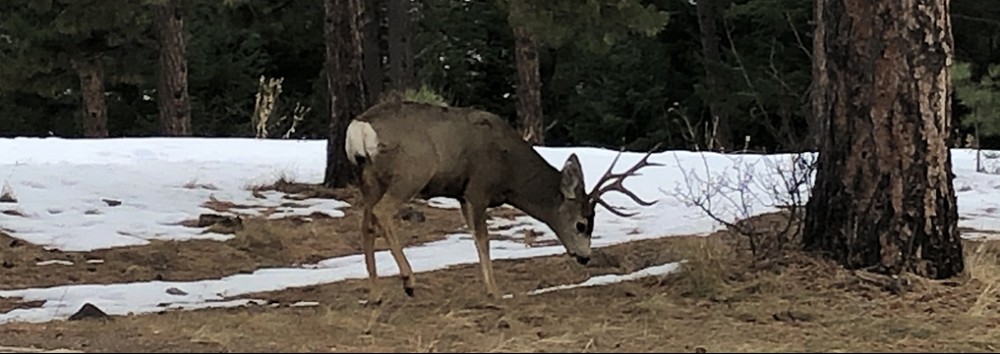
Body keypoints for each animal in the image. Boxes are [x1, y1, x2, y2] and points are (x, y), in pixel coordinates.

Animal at [346, 99, 664, 304]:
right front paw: (495, 292)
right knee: (382, 212)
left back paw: (375, 294)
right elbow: (483, 240)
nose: (585, 257)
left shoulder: (463, 194)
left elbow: (476, 238)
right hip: (412, 172)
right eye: (581, 224)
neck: (510, 169)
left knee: (366, 224)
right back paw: (409, 282)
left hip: (367, 178)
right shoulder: (477, 188)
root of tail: (359, 128)